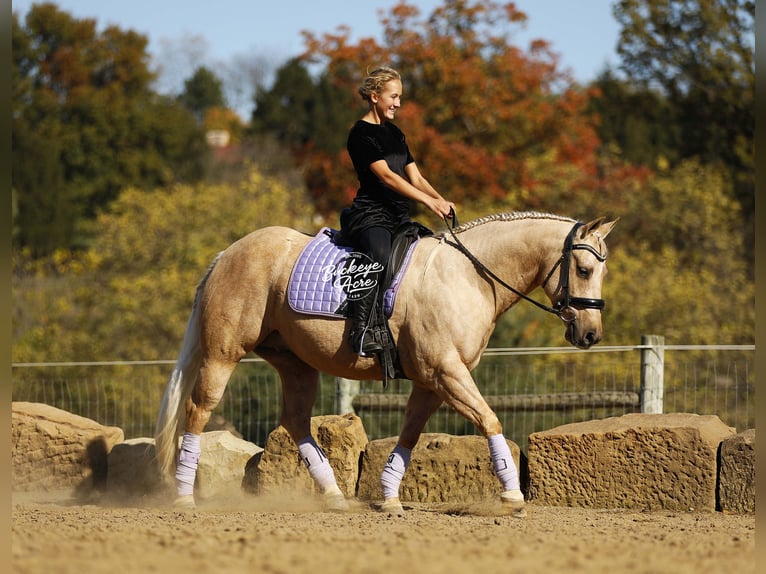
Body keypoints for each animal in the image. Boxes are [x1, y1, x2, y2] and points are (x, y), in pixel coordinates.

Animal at [154, 211, 618, 516]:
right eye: (583, 269)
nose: (590, 335)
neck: (469, 276)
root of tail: (229, 253)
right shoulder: (445, 371)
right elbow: (490, 420)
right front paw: (511, 496)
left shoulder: (432, 380)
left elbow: (410, 434)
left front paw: (391, 497)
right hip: (223, 354)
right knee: (198, 409)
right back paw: (183, 496)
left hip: (295, 363)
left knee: (296, 421)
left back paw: (334, 496)